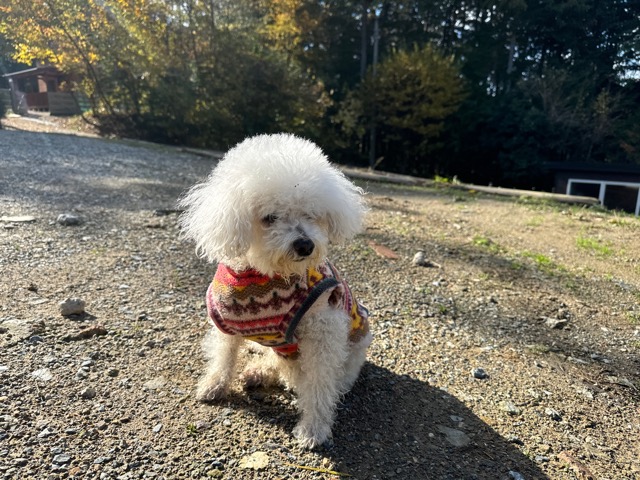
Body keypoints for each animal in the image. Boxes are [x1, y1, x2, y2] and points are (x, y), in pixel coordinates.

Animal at [179, 133, 372, 448]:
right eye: (269, 217)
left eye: (312, 214)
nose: (305, 245)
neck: (265, 275)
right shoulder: (225, 321)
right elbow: (223, 355)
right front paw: (214, 384)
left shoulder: (324, 328)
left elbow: (318, 384)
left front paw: (313, 429)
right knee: (279, 364)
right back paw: (259, 371)